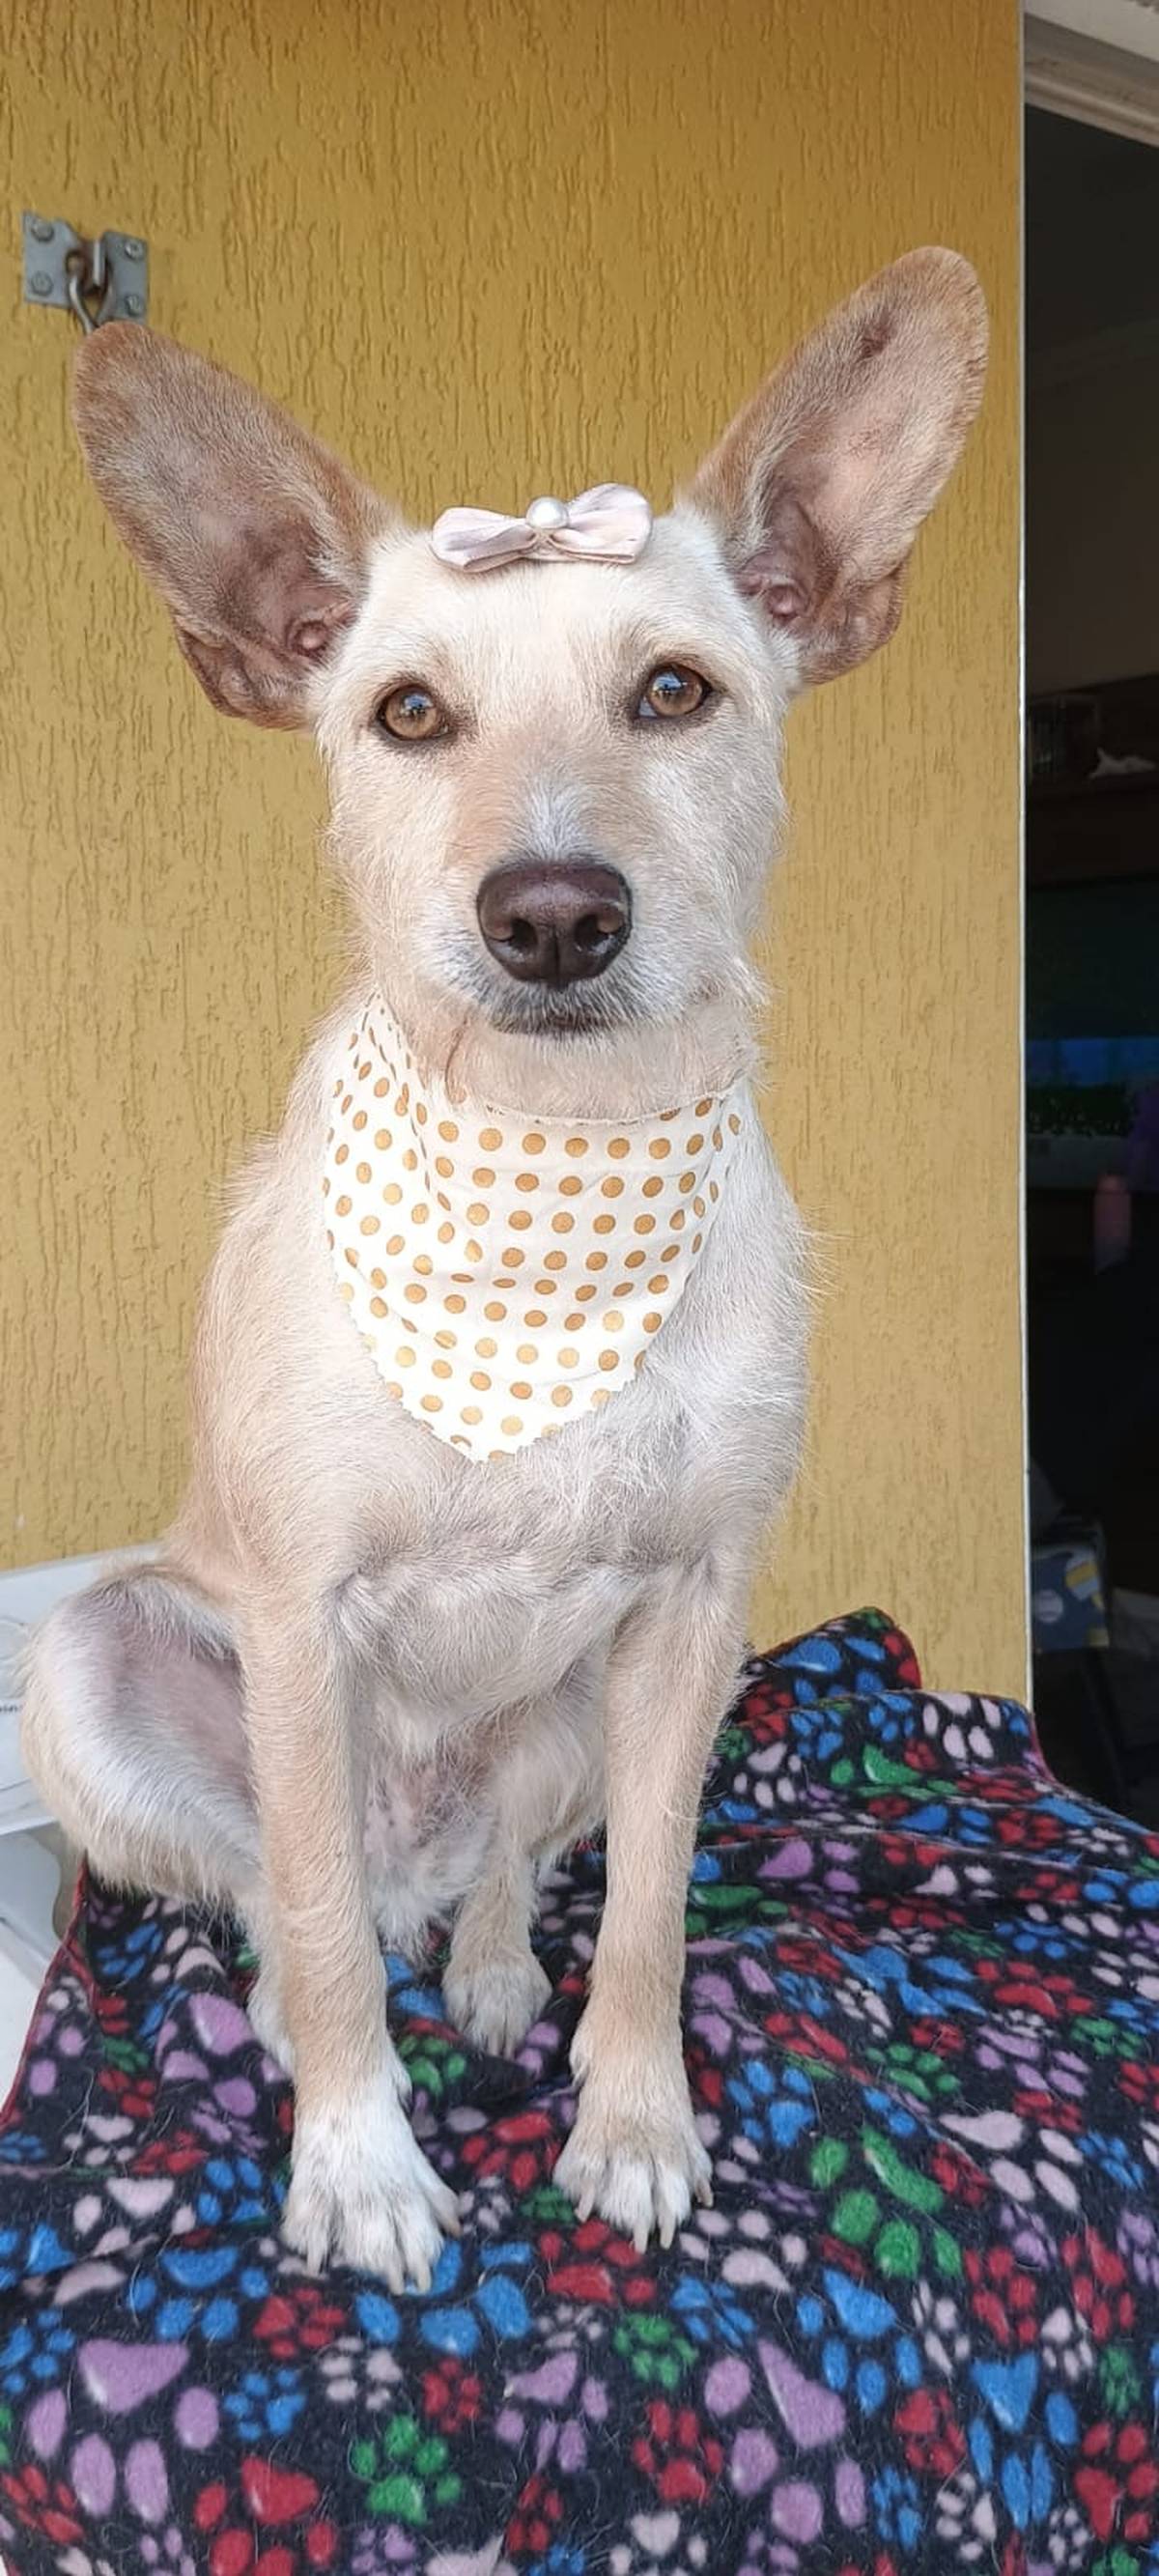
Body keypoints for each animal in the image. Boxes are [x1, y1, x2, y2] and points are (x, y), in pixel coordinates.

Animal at [22, 250, 986, 2290]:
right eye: (406, 714)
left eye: (676, 690)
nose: (552, 913)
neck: (555, 1181)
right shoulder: (300, 1614)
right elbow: (314, 1929)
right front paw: (359, 2158)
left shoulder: (697, 1608)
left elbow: (651, 1911)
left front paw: (633, 2123)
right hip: (105, 1657)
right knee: (283, 1884)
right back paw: (308, 1980)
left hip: (570, 1707)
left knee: (511, 1865)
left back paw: (475, 1960)